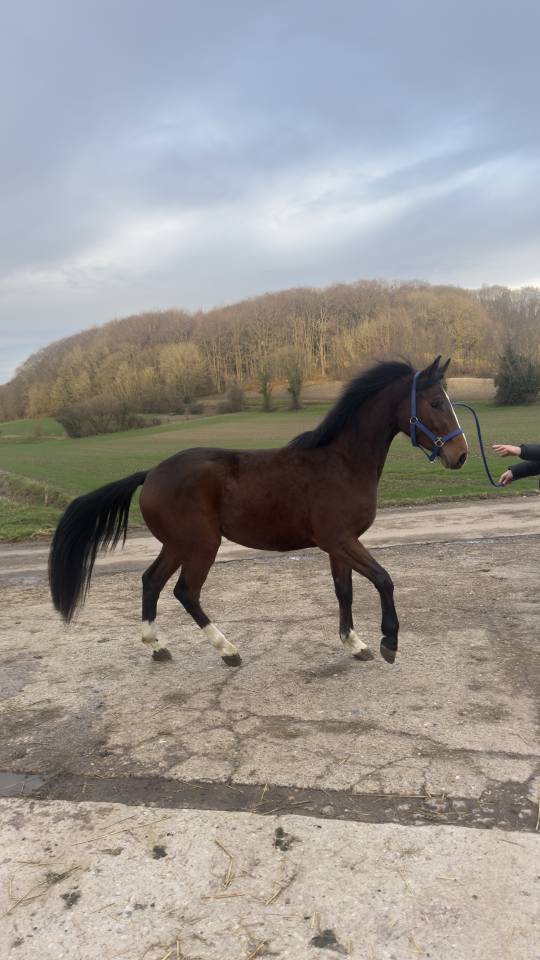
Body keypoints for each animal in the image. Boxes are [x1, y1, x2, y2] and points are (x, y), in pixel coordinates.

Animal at [49, 355, 467, 666]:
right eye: (435, 402)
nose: (460, 455)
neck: (342, 462)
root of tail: (150, 473)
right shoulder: (340, 540)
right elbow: (383, 579)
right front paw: (388, 642)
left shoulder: (339, 545)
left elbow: (344, 591)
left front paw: (356, 643)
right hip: (201, 546)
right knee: (186, 592)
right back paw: (228, 650)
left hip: (177, 545)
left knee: (151, 581)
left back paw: (158, 646)